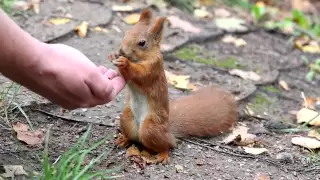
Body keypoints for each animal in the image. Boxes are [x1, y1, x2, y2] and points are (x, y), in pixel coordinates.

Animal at [107, 8, 238, 164]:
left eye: (142, 43)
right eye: (127, 33)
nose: (121, 51)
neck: (140, 58)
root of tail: (169, 131)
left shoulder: (153, 68)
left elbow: (141, 75)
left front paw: (125, 63)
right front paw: (113, 55)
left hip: (151, 129)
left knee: (167, 145)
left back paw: (163, 154)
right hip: (127, 119)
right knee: (134, 138)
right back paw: (124, 140)